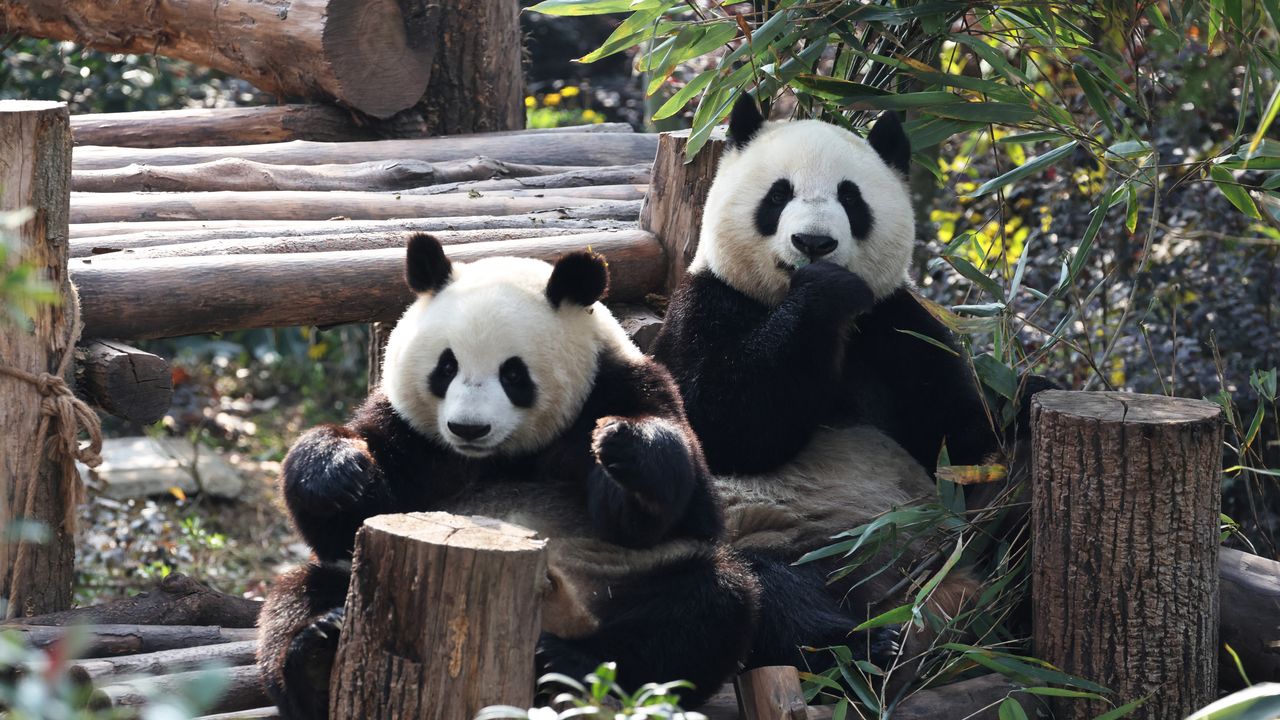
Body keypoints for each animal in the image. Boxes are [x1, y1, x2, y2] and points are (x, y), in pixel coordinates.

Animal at [257, 234, 763, 719]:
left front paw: (625, 447)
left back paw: (570, 663)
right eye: (446, 366)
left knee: (707, 608)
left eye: (514, 374)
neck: (502, 456)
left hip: (623, 585)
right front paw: (336, 468)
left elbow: (673, 514)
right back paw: (316, 657)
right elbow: (348, 524)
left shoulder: (622, 386)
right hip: (361, 586)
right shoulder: (411, 435)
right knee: (297, 594)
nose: (468, 428)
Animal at [651, 96, 1023, 668]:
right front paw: (824, 291)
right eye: (778, 195)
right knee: (760, 592)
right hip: (770, 537)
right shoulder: (705, 303)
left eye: (851, 198)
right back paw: (864, 643)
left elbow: (964, 436)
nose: (813, 243)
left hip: (953, 537)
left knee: (1011, 524)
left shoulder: (901, 327)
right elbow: (720, 423)